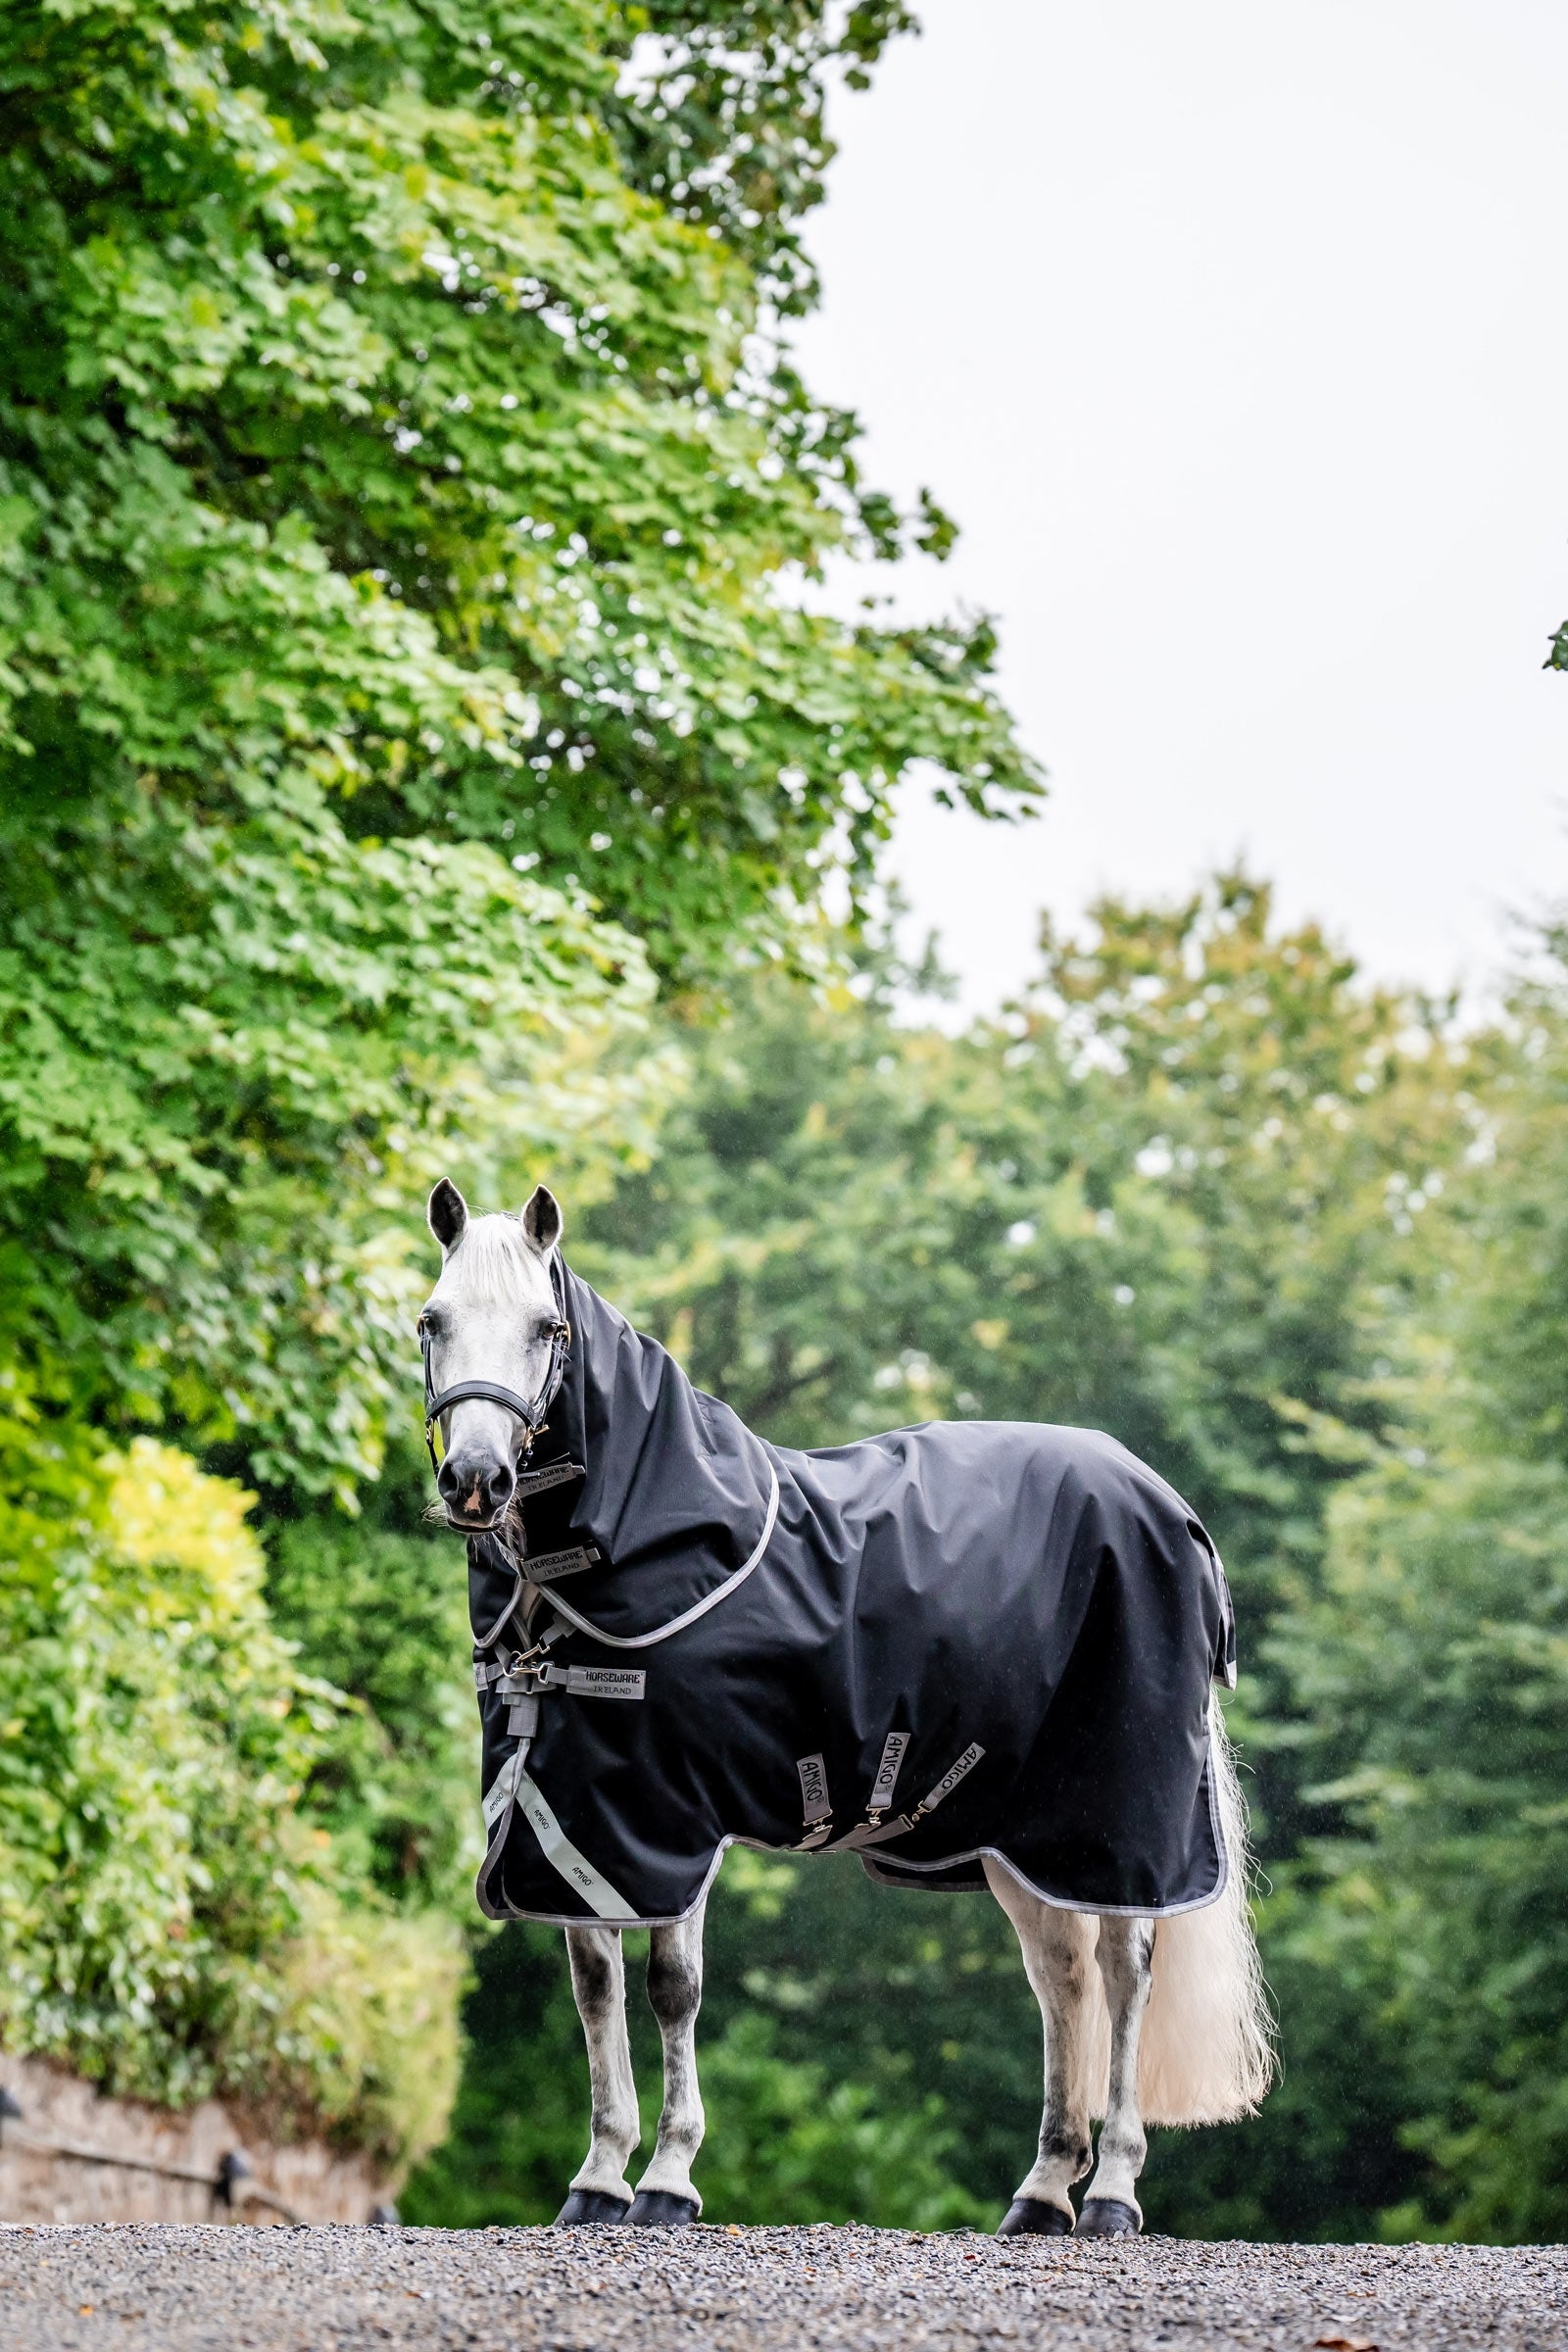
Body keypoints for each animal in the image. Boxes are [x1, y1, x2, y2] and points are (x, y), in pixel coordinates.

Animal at [417, 1178, 1273, 2236]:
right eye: (433, 1320)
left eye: (547, 1328)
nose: (475, 1481)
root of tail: (1171, 1508)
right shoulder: (583, 1819)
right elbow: (594, 1986)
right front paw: (597, 2178)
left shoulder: (672, 1818)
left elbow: (671, 1988)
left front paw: (666, 2180)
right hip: (1027, 1836)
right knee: (1063, 1979)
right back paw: (1041, 2193)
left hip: (1120, 1818)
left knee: (1123, 1971)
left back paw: (1111, 2191)